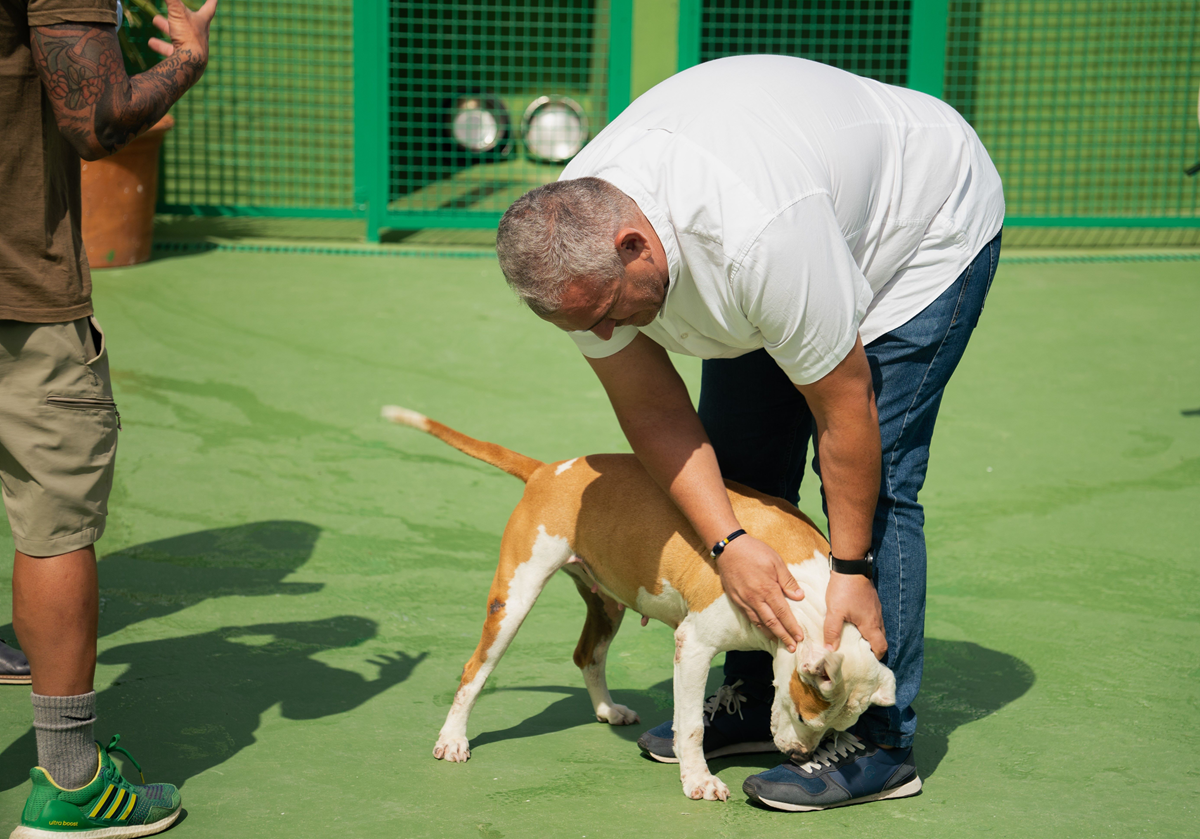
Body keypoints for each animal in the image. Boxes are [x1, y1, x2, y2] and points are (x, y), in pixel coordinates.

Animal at [381, 408, 892, 801]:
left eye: (837, 726)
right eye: (806, 715)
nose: (800, 757)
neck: (804, 594)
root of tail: (548, 470)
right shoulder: (694, 646)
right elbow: (691, 725)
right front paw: (699, 781)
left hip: (607, 603)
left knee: (587, 655)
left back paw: (608, 711)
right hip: (513, 600)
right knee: (474, 670)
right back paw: (453, 739)